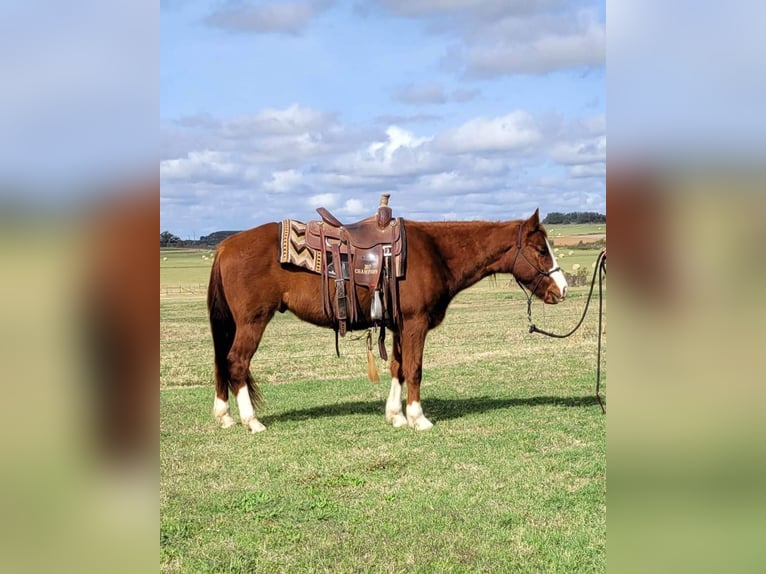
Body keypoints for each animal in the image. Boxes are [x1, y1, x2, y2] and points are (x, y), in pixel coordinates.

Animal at [207, 209, 568, 434]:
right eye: (540, 250)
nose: (562, 289)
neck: (436, 252)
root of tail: (226, 246)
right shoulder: (415, 323)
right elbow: (415, 368)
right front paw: (418, 418)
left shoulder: (398, 326)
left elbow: (398, 368)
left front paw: (396, 416)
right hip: (253, 321)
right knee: (236, 362)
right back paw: (251, 421)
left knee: (223, 363)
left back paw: (224, 416)